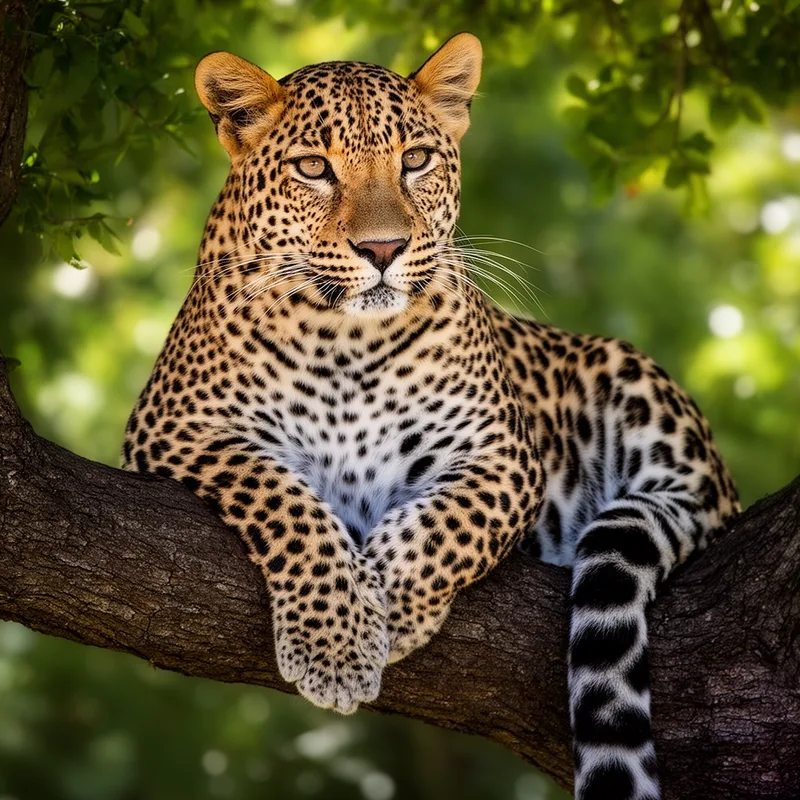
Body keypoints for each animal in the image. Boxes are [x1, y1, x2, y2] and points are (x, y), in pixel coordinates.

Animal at [122, 33, 740, 800]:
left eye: (414, 160)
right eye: (313, 167)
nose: (384, 249)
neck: (345, 339)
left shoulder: (503, 455)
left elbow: (447, 526)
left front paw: (391, 610)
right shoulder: (175, 427)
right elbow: (284, 501)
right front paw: (336, 640)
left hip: (630, 380)